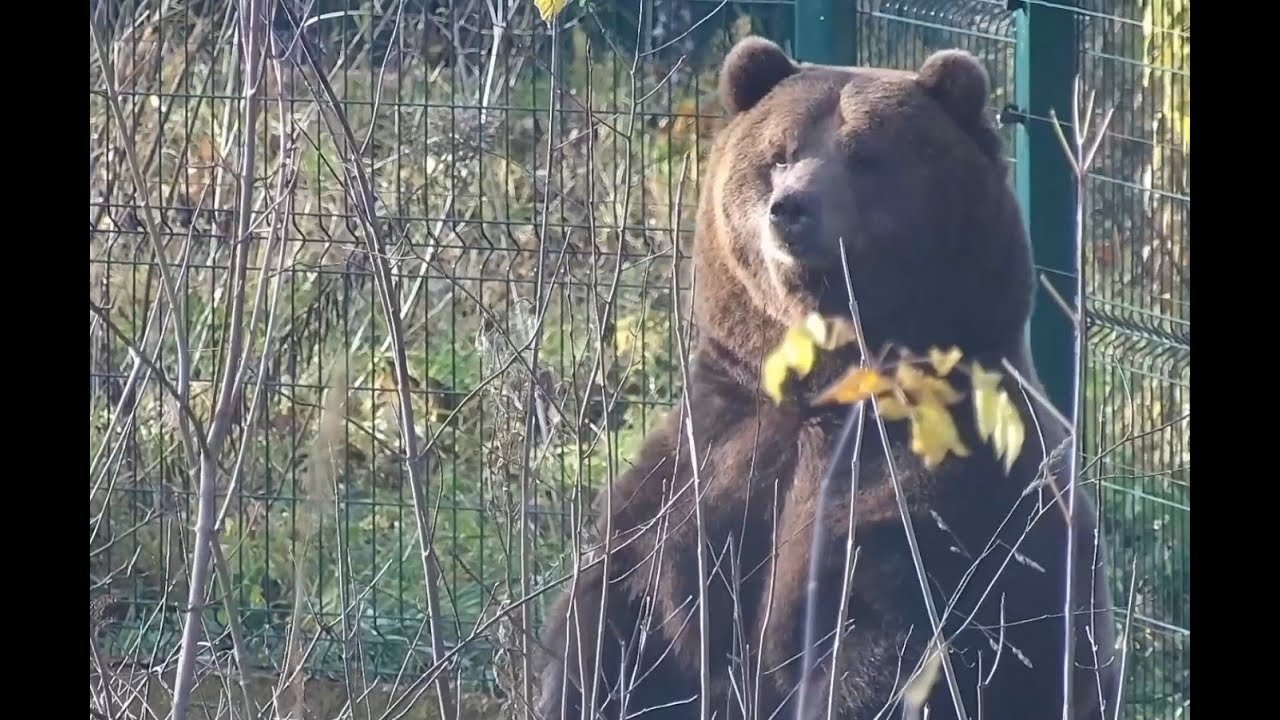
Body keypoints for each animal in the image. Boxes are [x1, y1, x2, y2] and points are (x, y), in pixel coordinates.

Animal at [534, 35, 1121, 720]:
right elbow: (625, 601)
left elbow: (895, 633)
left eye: (863, 155)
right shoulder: (712, 451)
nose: (790, 208)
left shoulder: (945, 473)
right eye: (779, 153)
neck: (827, 386)